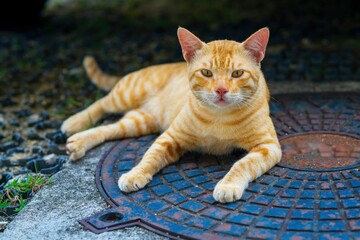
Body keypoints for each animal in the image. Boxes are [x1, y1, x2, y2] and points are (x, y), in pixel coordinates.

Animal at [61, 26, 282, 202]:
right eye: (206, 73)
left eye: (237, 74)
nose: (220, 90)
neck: (219, 117)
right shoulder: (170, 137)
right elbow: (149, 157)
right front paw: (135, 174)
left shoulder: (267, 146)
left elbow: (243, 165)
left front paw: (228, 185)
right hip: (127, 94)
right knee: (101, 104)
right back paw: (74, 123)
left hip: (139, 121)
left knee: (110, 129)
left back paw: (78, 142)